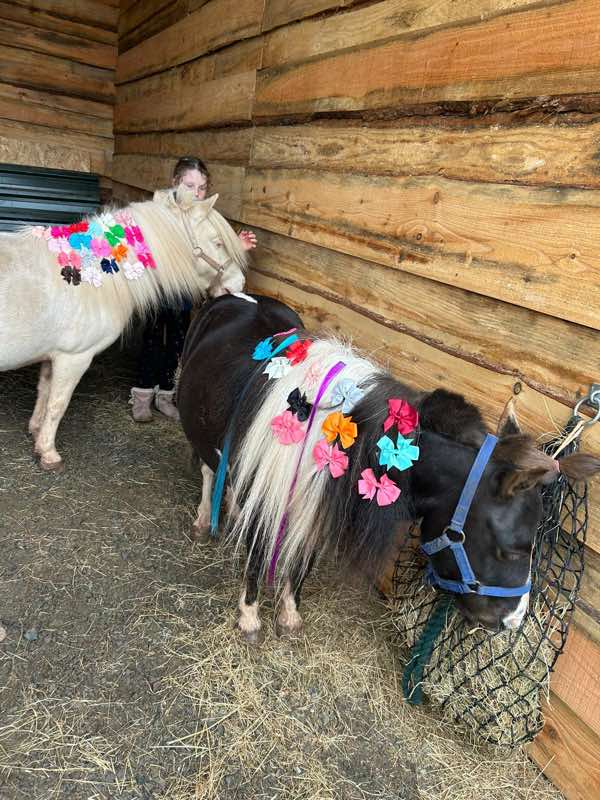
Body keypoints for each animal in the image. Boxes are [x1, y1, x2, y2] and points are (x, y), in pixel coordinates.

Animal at [0, 187, 247, 470]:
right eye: (217, 243)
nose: (239, 284)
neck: (94, 276)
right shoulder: (73, 358)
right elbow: (57, 405)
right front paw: (48, 453)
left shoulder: (53, 355)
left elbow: (44, 394)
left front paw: (36, 432)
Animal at [177, 294, 600, 641]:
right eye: (512, 550)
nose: (512, 621)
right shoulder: (268, 495)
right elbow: (256, 553)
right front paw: (249, 618)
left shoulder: (317, 505)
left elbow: (301, 563)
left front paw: (289, 614)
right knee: (208, 470)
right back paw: (204, 517)